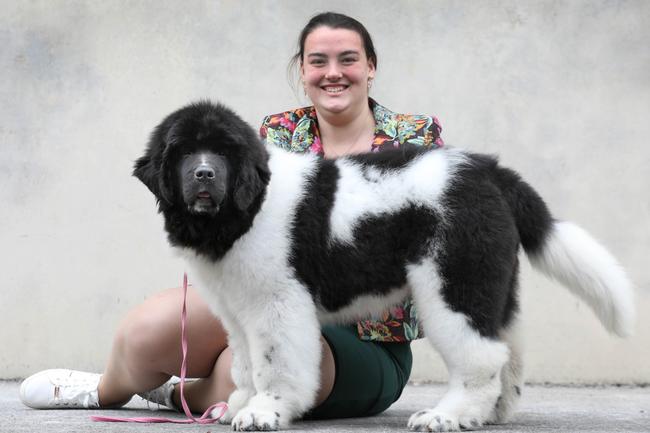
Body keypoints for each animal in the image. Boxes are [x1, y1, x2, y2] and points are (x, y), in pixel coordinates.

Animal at [133, 100, 632, 428]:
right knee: (508, 347)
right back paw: (493, 413)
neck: (248, 206)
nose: (204, 174)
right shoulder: (237, 310)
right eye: (183, 152)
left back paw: (448, 416)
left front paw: (265, 411)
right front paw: (240, 404)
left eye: (222, 152)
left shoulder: (278, 302)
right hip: (489, 285)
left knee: (481, 356)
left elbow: (275, 361)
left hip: (452, 283)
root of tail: (489, 171)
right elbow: (243, 362)